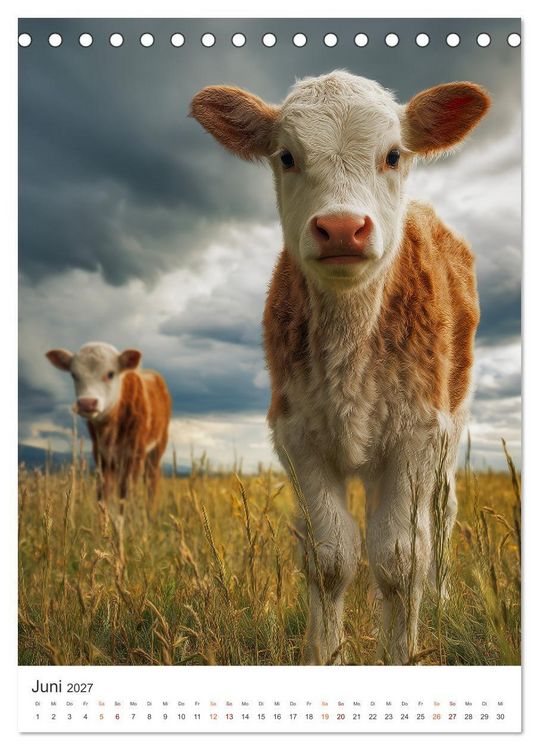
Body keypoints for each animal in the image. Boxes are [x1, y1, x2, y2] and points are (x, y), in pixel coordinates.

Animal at [46, 342, 171, 516]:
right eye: (73, 375)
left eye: (111, 374)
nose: (87, 403)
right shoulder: (100, 454)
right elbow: (103, 494)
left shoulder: (135, 453)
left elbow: (126, 493)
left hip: (158, 446)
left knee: (151, 480)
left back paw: (150, 512)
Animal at [191, 70, 490, 665]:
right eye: (287, 156)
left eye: (393, 154)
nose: (342, 227)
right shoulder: (296, 433)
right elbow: (331, 557)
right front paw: (325, 653)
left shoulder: (419, 434)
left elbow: (401, 559)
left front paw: (402, 653)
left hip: (451, 426)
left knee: (439, 521)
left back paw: (439, 602)